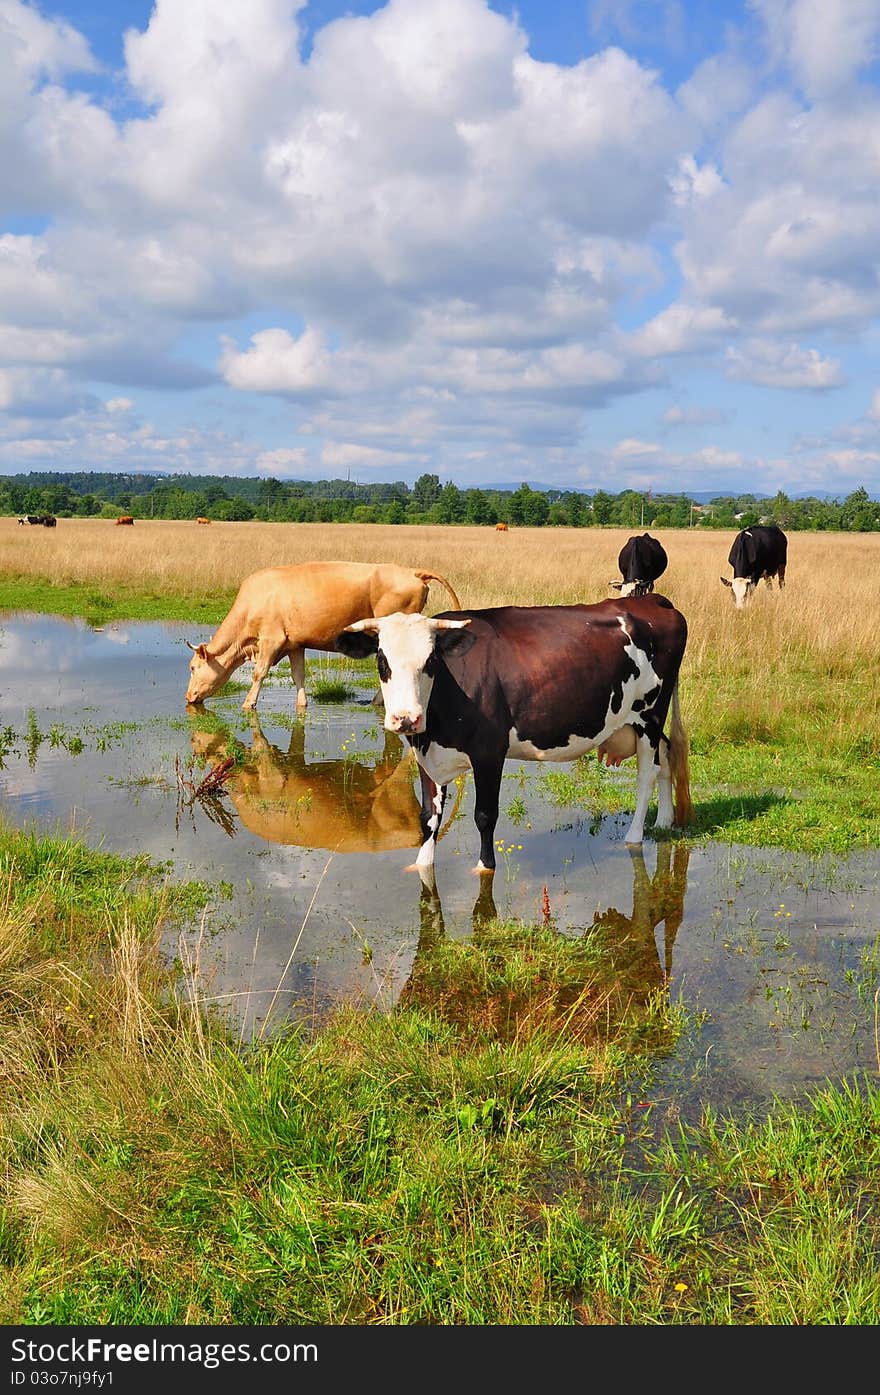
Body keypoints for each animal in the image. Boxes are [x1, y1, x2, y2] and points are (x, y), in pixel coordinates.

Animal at [182, 555, 465, 708]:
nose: (188, 696)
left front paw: (248, 704)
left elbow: (258, 673)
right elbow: (298, 675)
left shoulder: (271, 639)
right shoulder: (294, 644)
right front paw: (302, 704)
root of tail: (412, 572)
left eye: (193, 668)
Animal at [337, 594, 694, 876]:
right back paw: (664, 821)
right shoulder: (426, 754)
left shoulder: (489, 751)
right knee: (666, 756)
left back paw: (634, 837)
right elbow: (428, 818)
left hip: (649, 713)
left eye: (431, 660)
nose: (406, 718)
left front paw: (484, 868)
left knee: (647, 772)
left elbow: (484, 815)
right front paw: (421, 865)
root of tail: (652, 601)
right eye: (382, 660)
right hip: (641, 721)